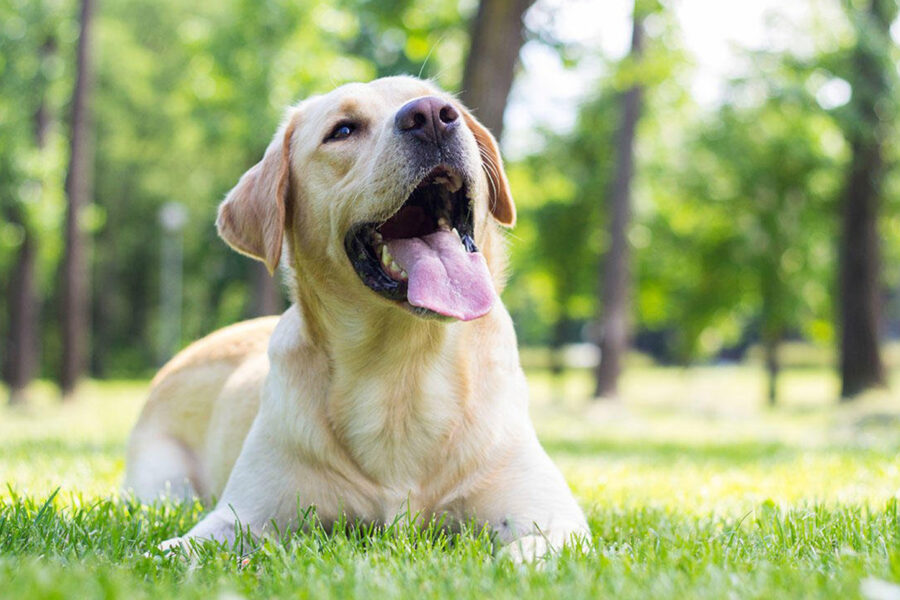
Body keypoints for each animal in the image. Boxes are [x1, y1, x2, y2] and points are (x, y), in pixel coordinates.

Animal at [126, 76, 592, 564]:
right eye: (343, 130)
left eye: (447, 108)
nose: (432, 115)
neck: (401, 373)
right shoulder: (241, 515)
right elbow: (175, 550)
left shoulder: (552, 517)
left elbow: (525, 554)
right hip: (161, 485)